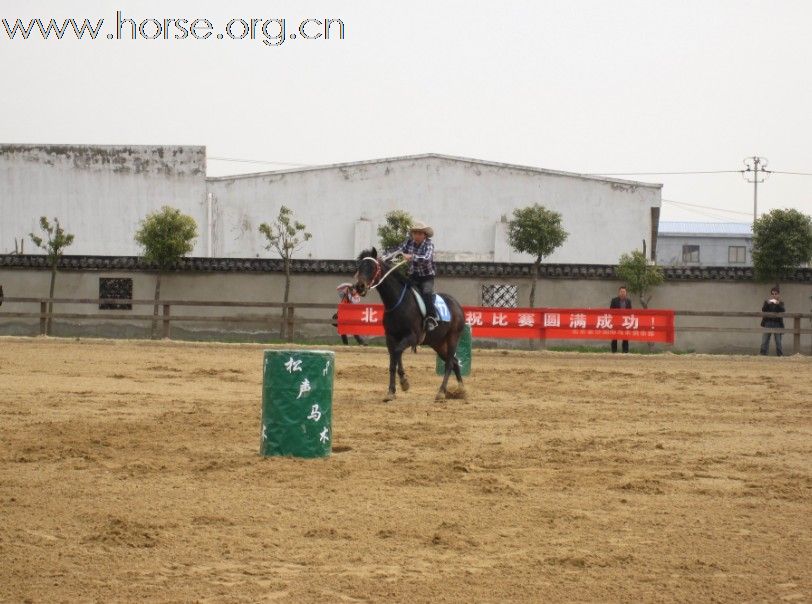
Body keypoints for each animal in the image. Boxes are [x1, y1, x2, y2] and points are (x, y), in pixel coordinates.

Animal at [352, 248, 466, 404]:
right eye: (359, 267)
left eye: (372, 267)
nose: (359, 286)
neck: (397, 303)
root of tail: (457, 305)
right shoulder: (391, 337)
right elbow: (393, 361)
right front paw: (392, 391)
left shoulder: (412, 337)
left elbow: (397, 352)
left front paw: (404, 382)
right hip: (438, 343)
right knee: (454, 362)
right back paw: (461, 390)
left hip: (453, 337)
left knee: (449, 363)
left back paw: (441, 392)